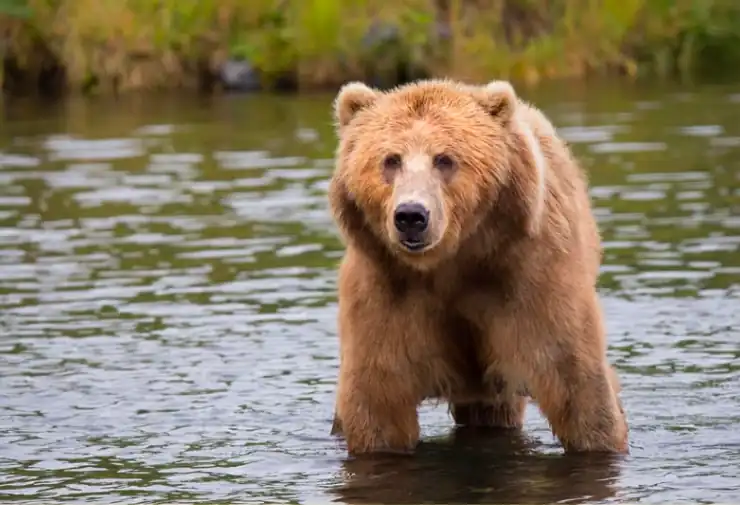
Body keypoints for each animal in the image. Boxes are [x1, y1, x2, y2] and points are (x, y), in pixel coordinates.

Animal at [326, 78, 628, 456]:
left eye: (445, 159)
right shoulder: (386, 292)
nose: (411, 215)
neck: (453, 262)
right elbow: (379, 398)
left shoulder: (531, 280)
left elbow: (575, 382)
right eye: (390, 160)